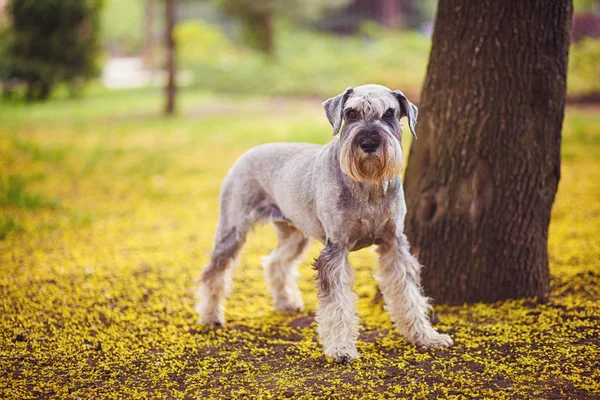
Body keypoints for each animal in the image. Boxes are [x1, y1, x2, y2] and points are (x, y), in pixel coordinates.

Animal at [195, 83, 452, 360]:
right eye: (351, 113)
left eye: (389, 113)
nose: (369, 143)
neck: (368, 186)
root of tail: (249, 152)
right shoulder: (335, 249)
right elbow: (336, 304)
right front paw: (340, 348)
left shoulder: (393, 244)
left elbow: (409, 294)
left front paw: (425, 336)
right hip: (232, 230)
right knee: (214, 271)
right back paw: (210, 314)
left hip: (295, 233)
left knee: (276, 262)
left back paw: (286, 302)